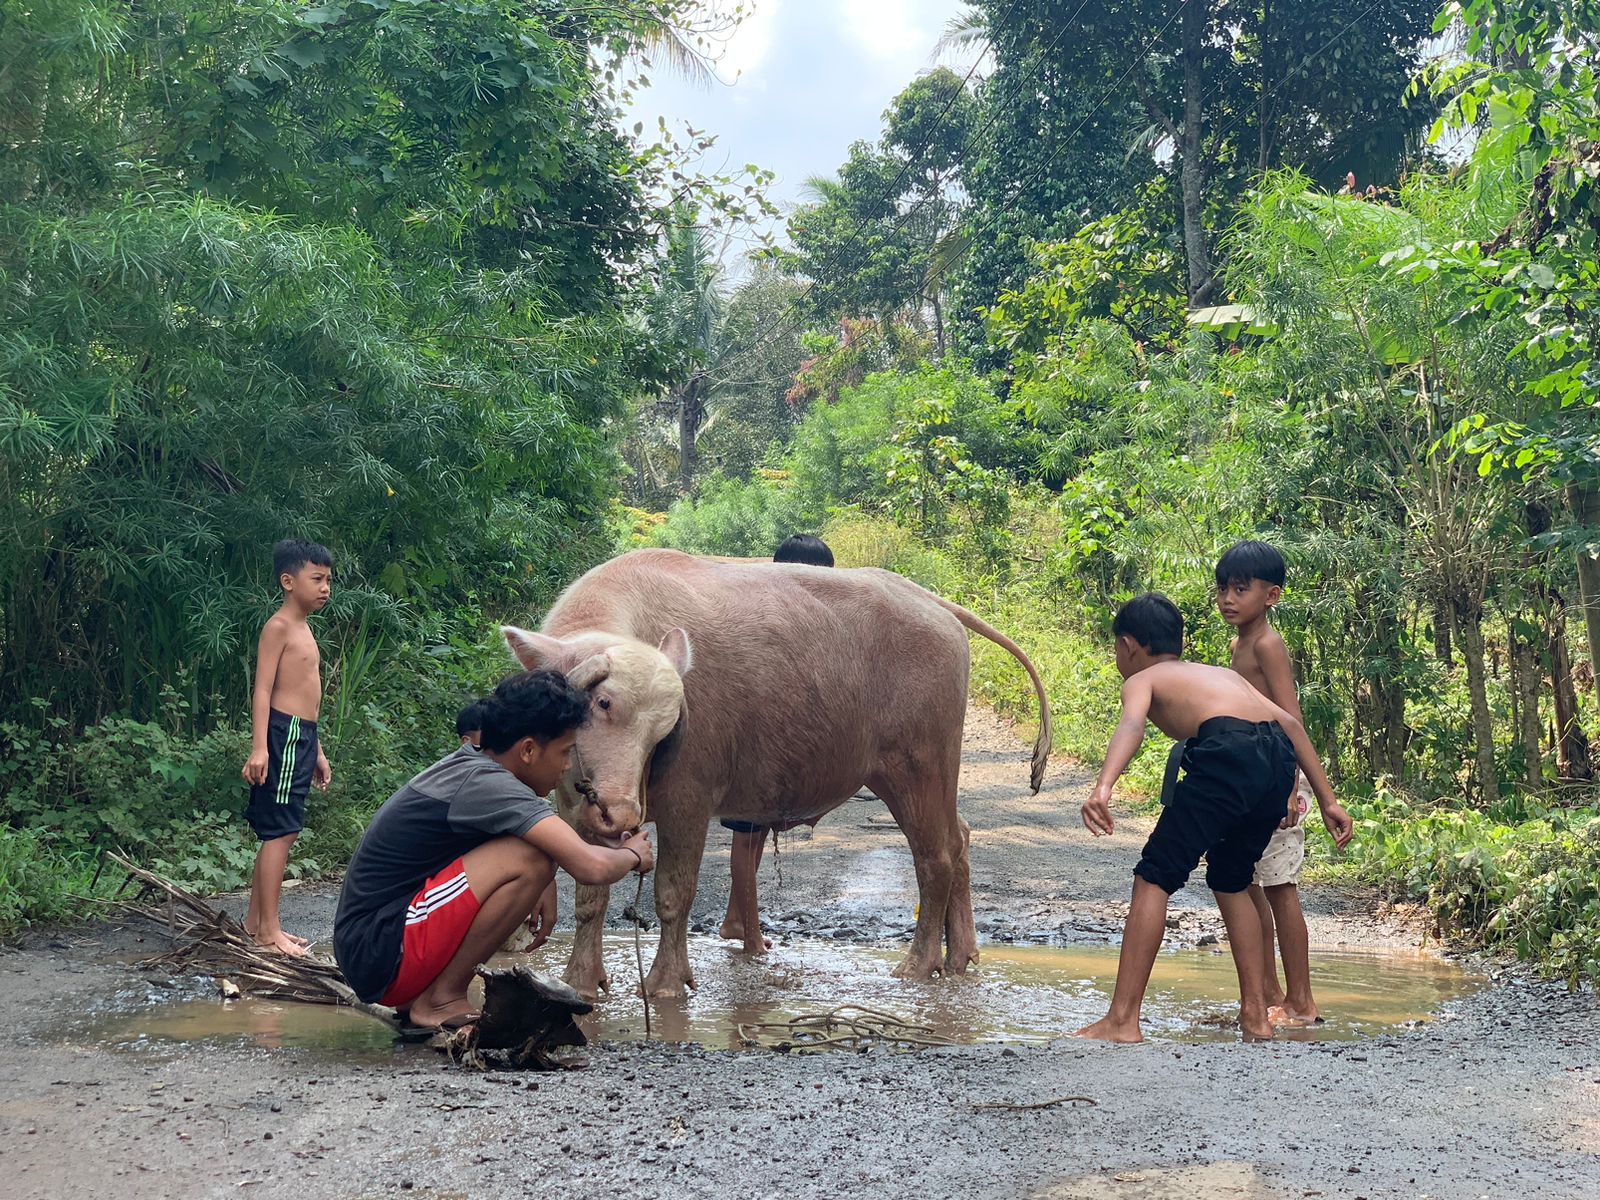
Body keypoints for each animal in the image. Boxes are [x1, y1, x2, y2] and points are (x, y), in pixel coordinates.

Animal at [499, 550, 1049, 998]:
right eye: (603, 702)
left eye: (667, 728)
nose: (623, 811)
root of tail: (932, 605)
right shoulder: (574, 807)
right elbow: (589, 895)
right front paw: (580, 979)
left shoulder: (688, 802)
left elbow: (674, 894)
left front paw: (666, 984)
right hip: (918, 773)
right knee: (960, 837)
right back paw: (961, 956)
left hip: (917, 765)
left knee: (935, 855)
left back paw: (919, 965)